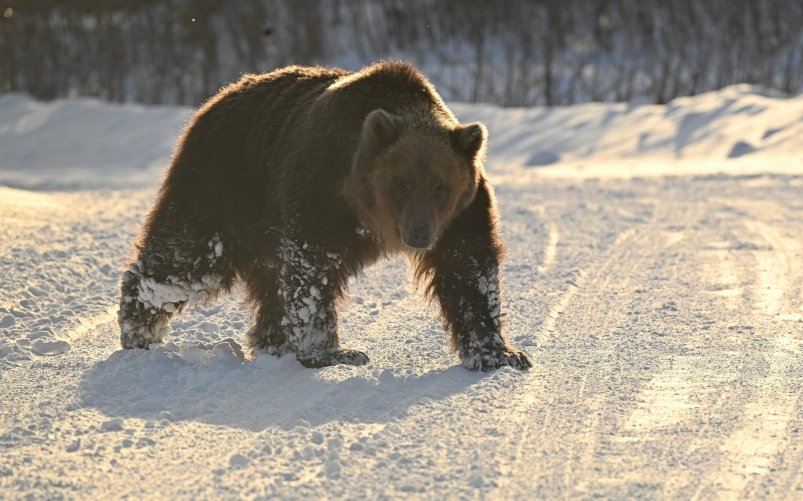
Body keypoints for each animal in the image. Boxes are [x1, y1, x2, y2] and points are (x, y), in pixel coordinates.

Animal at [118, 60, 532, 370]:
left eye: (440, 187)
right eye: (401, 185)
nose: (419, 234)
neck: (368, 211)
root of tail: (212, 101)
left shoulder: (463, 213)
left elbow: (468, 269)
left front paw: (501, 354)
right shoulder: (321, 193)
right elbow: (312, 268)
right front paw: (333, 352)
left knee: (269, 281)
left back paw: (274, 343)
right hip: (224, 187)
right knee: (188, 258)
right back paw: (138, 330)